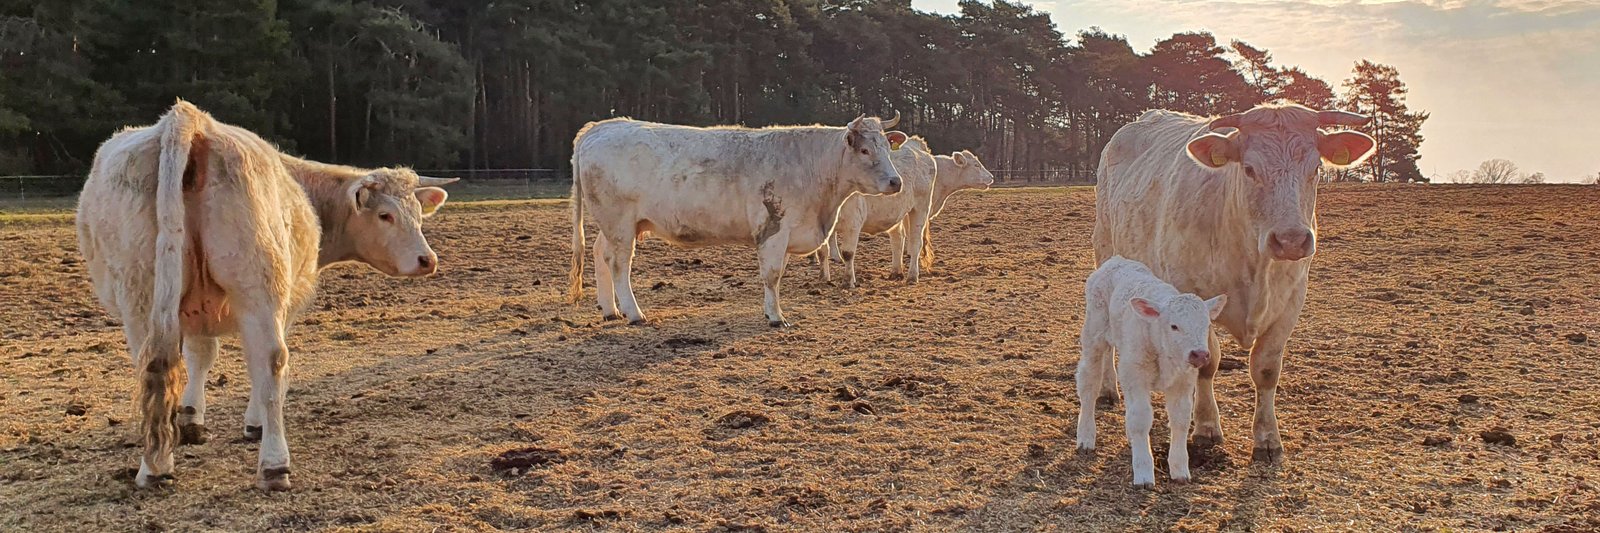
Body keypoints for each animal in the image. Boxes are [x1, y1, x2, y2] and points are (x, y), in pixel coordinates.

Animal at [76, 100, 457, 490]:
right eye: (385, 215)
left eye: (418, 214)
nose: (427, 260)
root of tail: (189, 119)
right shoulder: (284, 306)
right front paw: (250, 423)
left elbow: (199, 355)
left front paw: (190, 418)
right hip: (260, 287)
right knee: (271, 361)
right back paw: (274, 464)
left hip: (142, 297)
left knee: (155, 364)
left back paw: (155, 466)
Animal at [567, 114, 905, 326]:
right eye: (865, 150)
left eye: (888, 149)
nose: (896, 182)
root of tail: (601, 127)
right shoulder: (773, 229)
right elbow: (772, 275)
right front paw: (776, 317)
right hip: (619, 222)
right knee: (619, 264)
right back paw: (634, 313)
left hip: (616, 225)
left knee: (600, 253)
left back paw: (610, 310)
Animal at [816, 139, 994, 288]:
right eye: (976, 165)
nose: (991, 177)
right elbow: (822, 251)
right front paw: (825, 278)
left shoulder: (854, 221)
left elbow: (849, 252)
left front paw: (848, 281)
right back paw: (897, 272)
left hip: (919, 209)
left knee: (915, 242)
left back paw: (912, 276)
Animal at [1075, 256, 1226, 487]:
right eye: (1174, 326)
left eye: (1207, 325)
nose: (1199, 354)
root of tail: (1115, 260)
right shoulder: (1136, 374)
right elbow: (1141, 418)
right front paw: (1144, 473)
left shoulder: (1182, 381)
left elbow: (1181, 419)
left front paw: (1180, 470)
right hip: (1094, 333)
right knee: (1088, 383)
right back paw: (1085, 437)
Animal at [1092, 101, 1375, 463]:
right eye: (1250, 169)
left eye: (1315, 168)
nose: (1291, 240)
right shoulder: (1194, 297)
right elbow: (1207, 363)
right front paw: (1206, 428)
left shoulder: (1292, 301)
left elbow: (1266, 368)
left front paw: (1267, 439)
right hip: (1106, 252)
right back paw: (1107, 390)